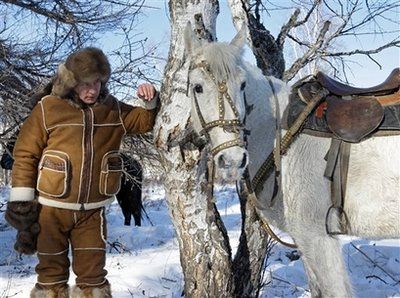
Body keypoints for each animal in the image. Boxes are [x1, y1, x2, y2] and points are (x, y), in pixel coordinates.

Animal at [184, 24, 396, 296]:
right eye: (197, 87)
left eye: (242, 85)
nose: (233, 159)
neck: (279, 132)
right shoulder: (305, 240)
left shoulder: (317, 237)